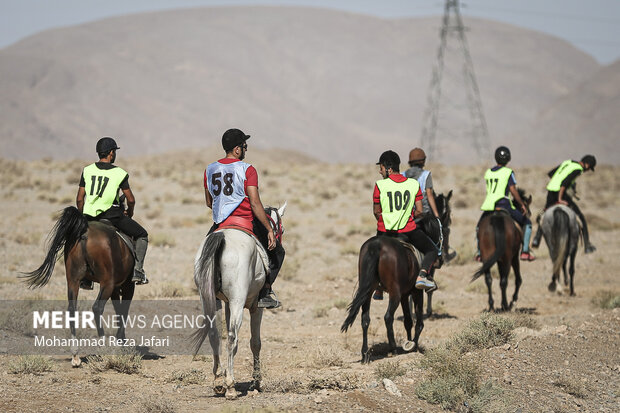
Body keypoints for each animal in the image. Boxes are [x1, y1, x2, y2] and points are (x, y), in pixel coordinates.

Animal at [21, 208, 134, 366]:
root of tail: (84, 233)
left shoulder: (117, 289)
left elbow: (119, 310)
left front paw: (120, 341)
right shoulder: (128, 285)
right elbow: (123, 311)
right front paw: (121, 343)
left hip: (73, 280)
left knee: (72, 309)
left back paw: (75, 355)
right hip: (107, 283)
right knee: (97, 307)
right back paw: (103, 346)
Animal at [191, 204, 286, 398]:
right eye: (281, 229)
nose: (276, 240)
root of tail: (222, 238)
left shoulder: (227, 304)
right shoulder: (255, 308)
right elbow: (255, 343)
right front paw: (257, 381)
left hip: (209, 298)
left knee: (214, 334)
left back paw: (218, 381)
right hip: (237, 301)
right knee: (231, 338)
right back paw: (230, 387)